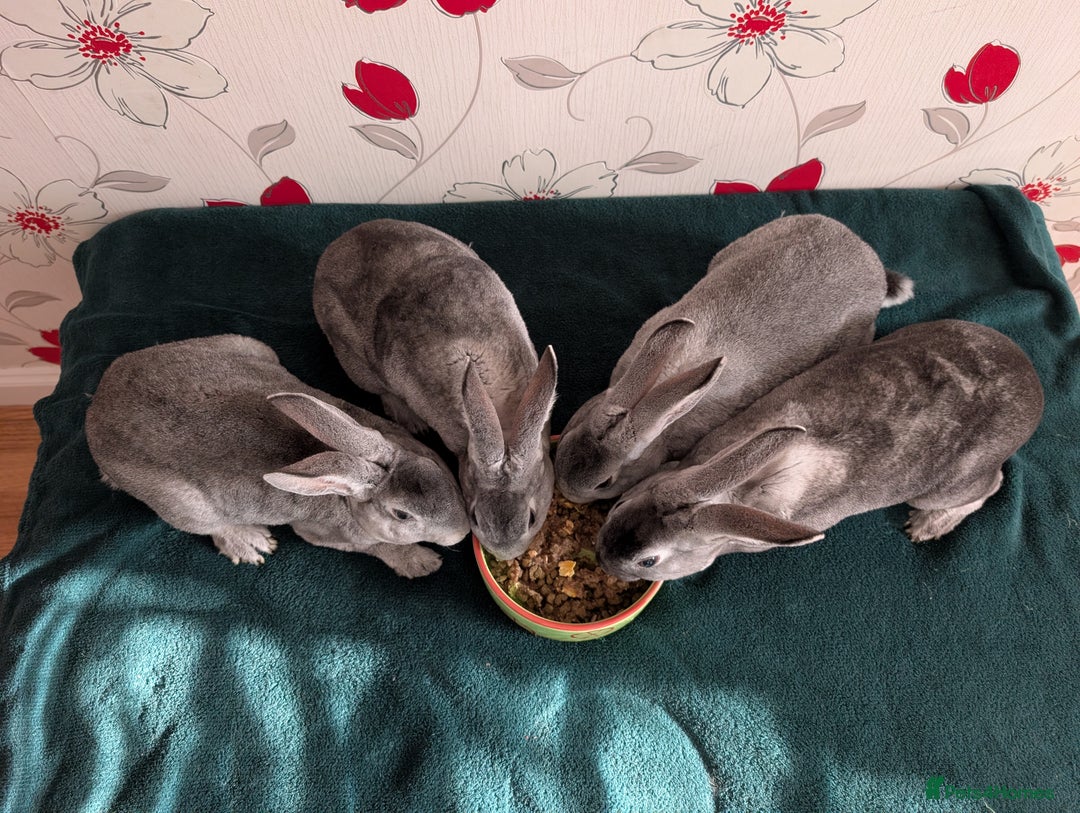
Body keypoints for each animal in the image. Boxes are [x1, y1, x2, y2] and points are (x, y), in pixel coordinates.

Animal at [85, 334, 470, 577]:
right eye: (402, 515)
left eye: (434, 465)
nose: (462, 533)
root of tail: (95, 412)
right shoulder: (324, 533)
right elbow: (378, 548)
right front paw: (422, 563)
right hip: (182, 505)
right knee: (209, 527)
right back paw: (252, 545)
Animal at [313, 219, 557, 561]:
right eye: (475, 517)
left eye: (532, 518)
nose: (504, 555)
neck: (505, 425)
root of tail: (333, 249)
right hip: (356, 362)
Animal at [595, 320, 1043, 582]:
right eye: (620, 506)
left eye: (648, 562)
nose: (601, 557)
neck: (732, 493)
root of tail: (1032, 381)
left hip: (950, 484)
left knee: (990, 486)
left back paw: (926, 527)